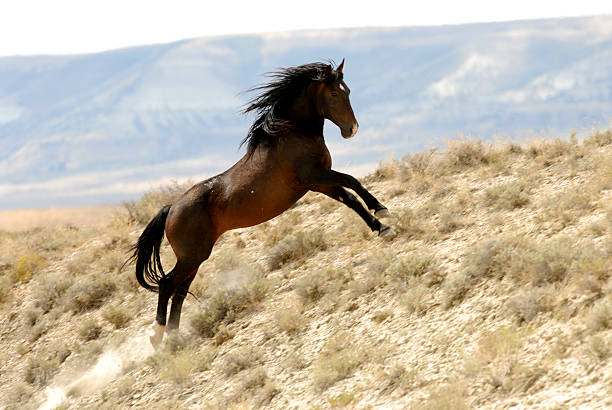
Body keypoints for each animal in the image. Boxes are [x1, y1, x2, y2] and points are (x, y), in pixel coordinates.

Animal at [131, 59, 394, 348]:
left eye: (348, 91)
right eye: (335, 93)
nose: (352, 129)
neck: (291, 134)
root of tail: (171, 209)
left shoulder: (319, 183)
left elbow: (351, 199)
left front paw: (381, 226)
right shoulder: (315, 176)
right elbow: (353, 181)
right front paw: (382, 210)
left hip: (195, 259)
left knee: (179, 293)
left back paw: (174, 340)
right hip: (193, 257)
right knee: (167, 285)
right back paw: (157, 336)